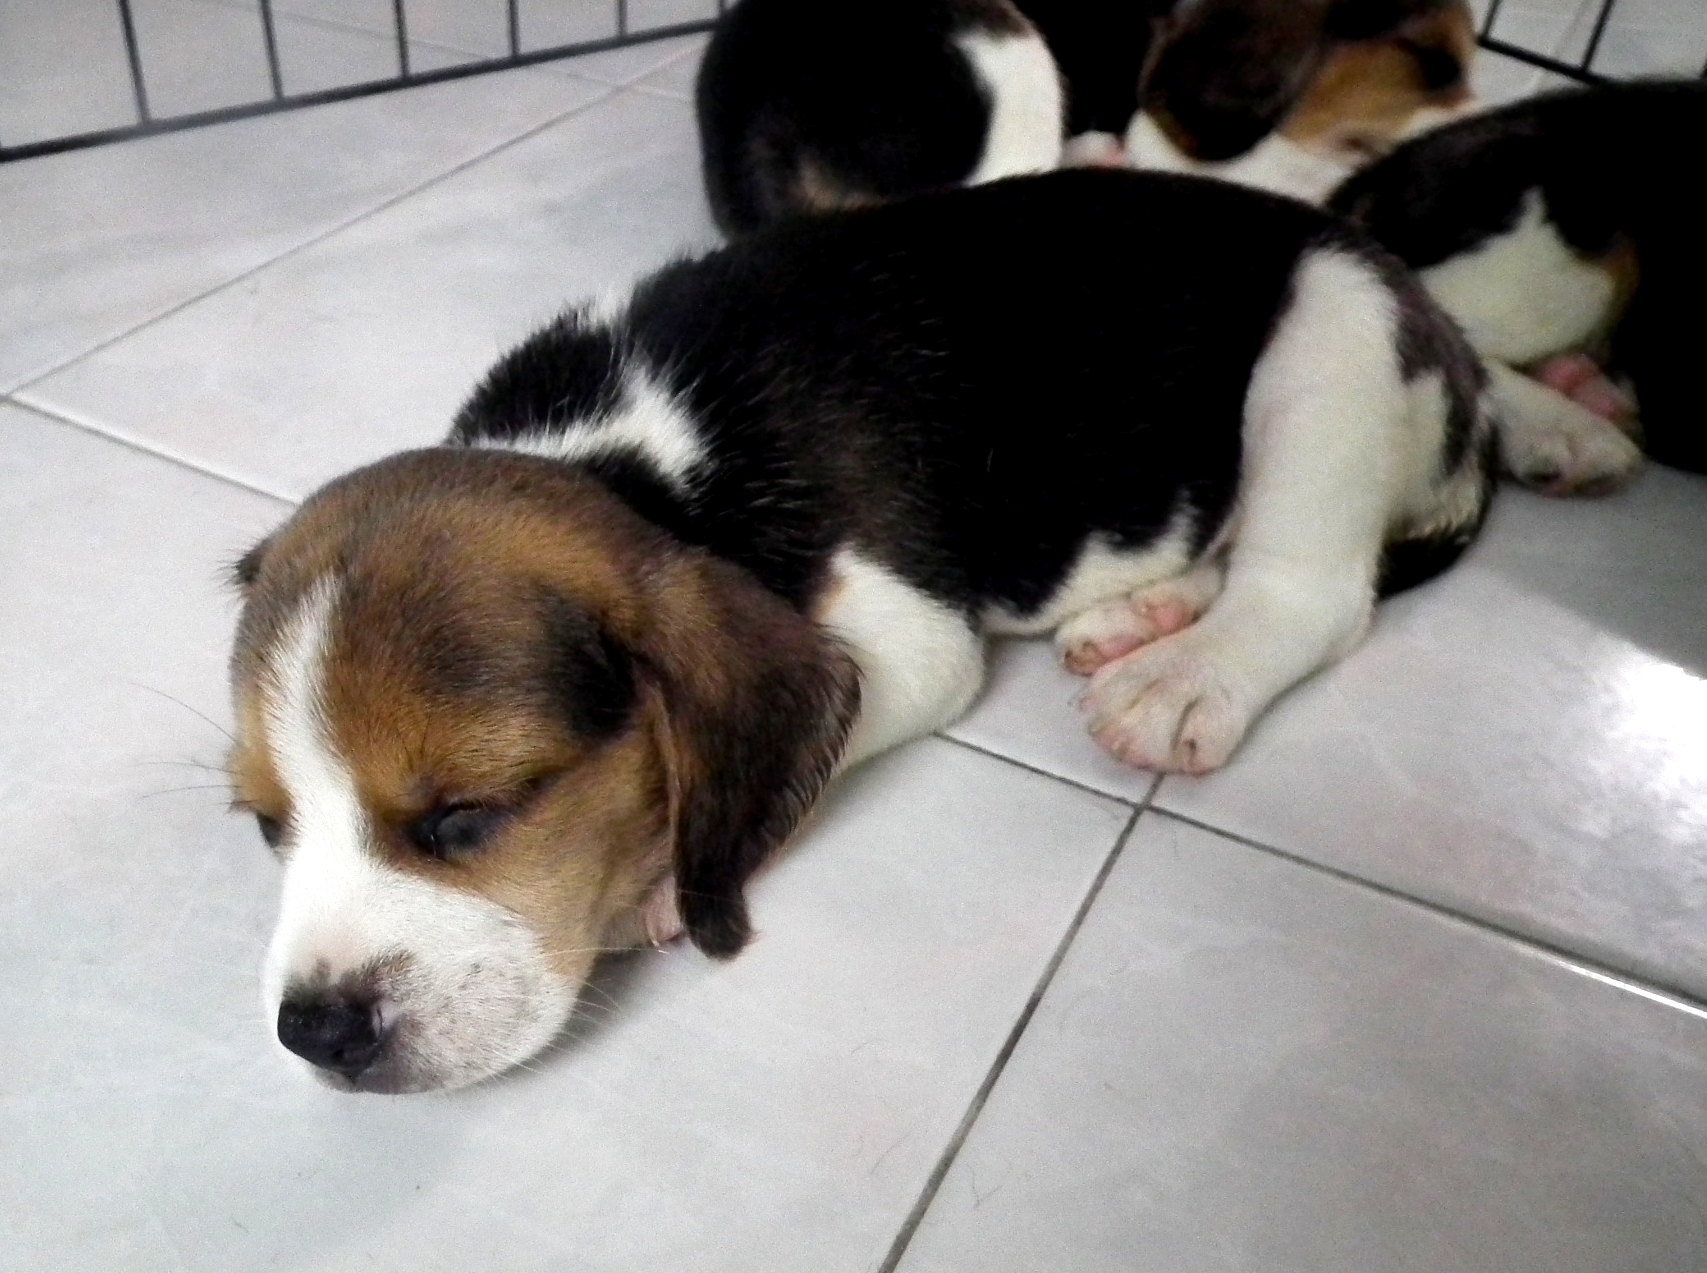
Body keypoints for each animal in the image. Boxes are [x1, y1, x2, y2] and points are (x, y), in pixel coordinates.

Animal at [233, 168, 1647, 1093]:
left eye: (469, 815)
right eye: (264, 826)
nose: (317, 1033)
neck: (636, 466)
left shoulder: (906, 641)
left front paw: (660, 880)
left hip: (1329, 338)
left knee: (1311, 589)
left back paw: (1188, 672)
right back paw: (1158, 603)